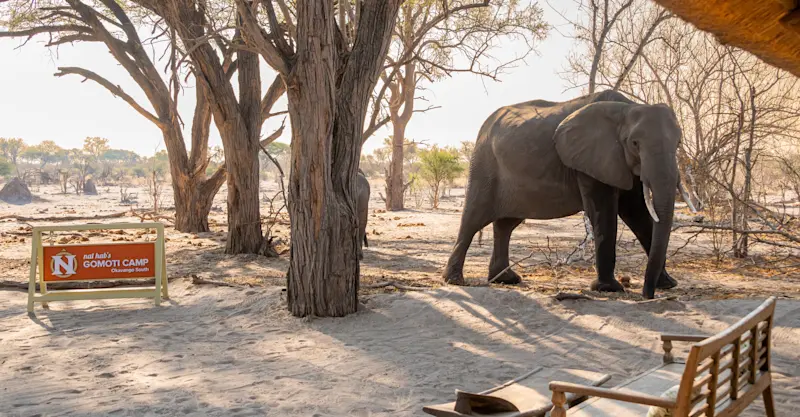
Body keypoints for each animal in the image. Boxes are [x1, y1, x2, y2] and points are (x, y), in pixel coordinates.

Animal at [442, 90, 697, 299]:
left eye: (678, 143)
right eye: (635, 143)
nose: (647, 293)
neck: (626, 109)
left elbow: (638, 214)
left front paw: (668, 284)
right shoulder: (592, 159)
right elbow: (604, 213)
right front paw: (609, 288)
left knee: (506, 224)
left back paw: (506, 279)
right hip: (484, 164)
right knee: (474, 218)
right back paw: (455, 280)